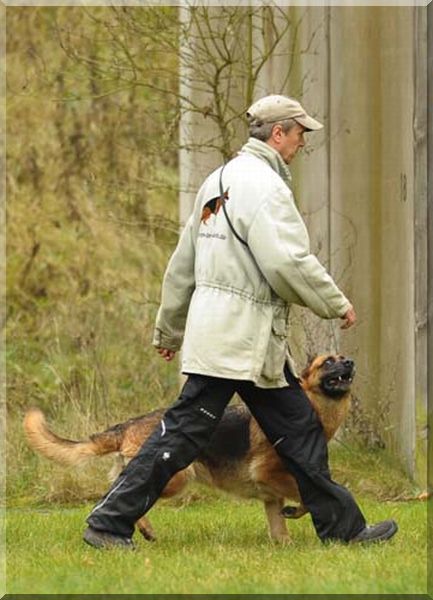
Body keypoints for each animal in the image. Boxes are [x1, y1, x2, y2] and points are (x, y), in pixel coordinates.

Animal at [23, 354, 355, 544]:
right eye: (328, 362)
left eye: (342, 359)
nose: (350, 362)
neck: (314, 405)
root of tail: (128, 424)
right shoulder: (270, 475)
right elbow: (305, 494)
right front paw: (299, 511)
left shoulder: (270, 495)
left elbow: (280, 525)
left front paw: (284, 543)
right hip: (176, 478)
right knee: (121, 495)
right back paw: (137, 529)